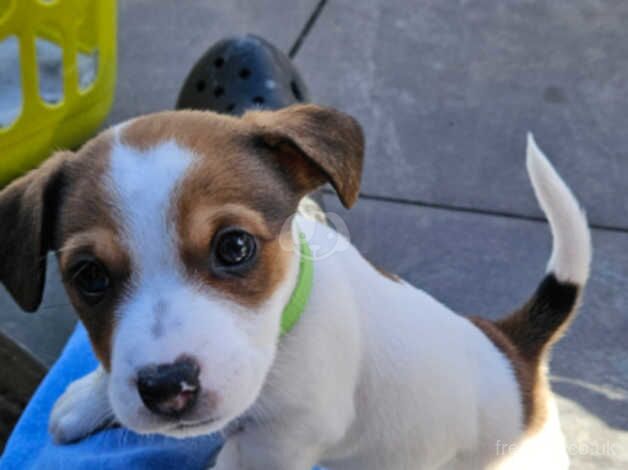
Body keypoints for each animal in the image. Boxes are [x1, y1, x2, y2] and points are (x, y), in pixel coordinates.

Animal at [0, 104, 588, 468]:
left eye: (235, 247)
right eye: (90, 277)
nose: (167, 388)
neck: (285, 328)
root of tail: (516, 350)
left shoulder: (274, 447)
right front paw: (88, 397)